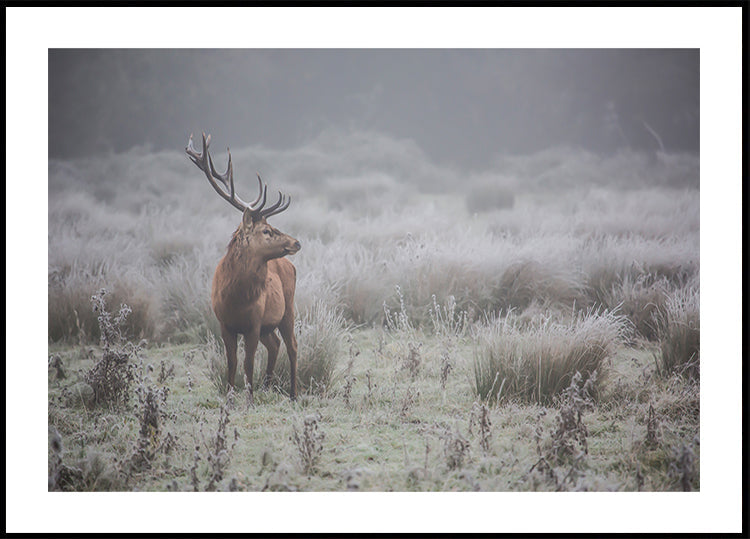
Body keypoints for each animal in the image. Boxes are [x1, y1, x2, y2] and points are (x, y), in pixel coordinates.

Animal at [186, 132, 301, 401]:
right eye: (266, 230)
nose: (296, 242)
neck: (235, 297)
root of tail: (290, 265)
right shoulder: (224, 324)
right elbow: (232, 363)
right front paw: (231, 396)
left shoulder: (254, 323)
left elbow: (248, 363)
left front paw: (248, 399)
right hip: (270, 324)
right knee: (276, 345)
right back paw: (267, 387)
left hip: (288, 308)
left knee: (292, 346)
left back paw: (293, 393)